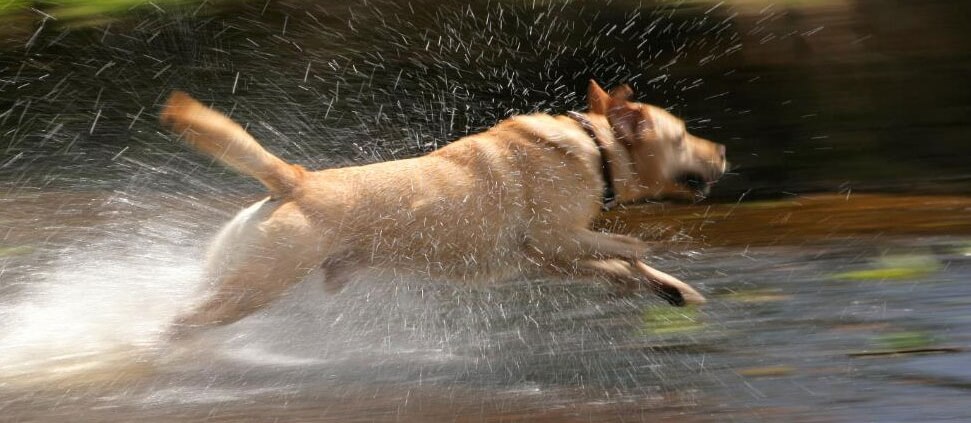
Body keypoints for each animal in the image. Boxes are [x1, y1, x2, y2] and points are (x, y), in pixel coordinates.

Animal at [163, 81, 728, 336]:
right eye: (682, 137)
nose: (723, 150)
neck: (598, 148)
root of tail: (296, 179)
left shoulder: (547, 257)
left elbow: (624, 264)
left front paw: (673, 290)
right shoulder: (552, 239)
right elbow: (630, 247)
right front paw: (648, 268)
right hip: (257, 284)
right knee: (181, 323)